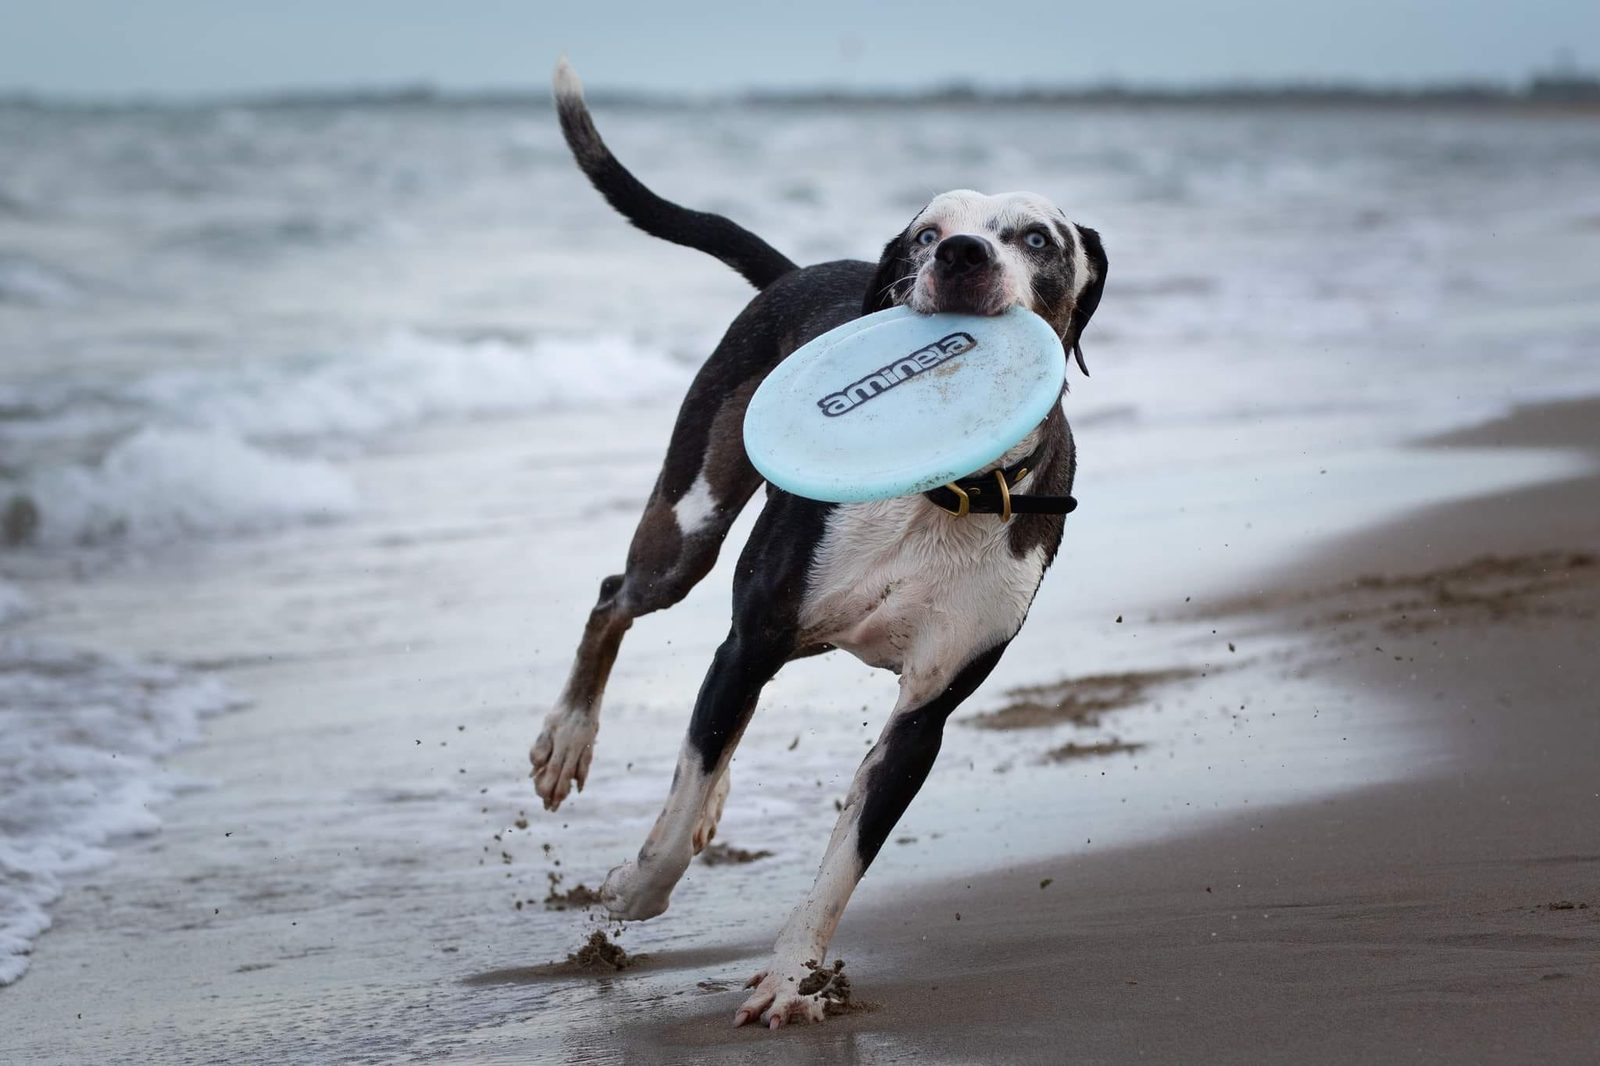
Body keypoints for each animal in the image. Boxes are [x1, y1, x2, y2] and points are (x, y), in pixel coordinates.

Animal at [531, 60, 1107, 1029]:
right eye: (926, 234)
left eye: (1037, 237)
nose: (960, 255)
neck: (941, 492)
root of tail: (799, 272)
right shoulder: (756, 634)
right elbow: (680, 798)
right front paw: (634, 889)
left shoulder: (924, 717)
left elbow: (843, 861)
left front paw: (791, 976)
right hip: (688, 528)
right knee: (619, 598)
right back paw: (571, 736)